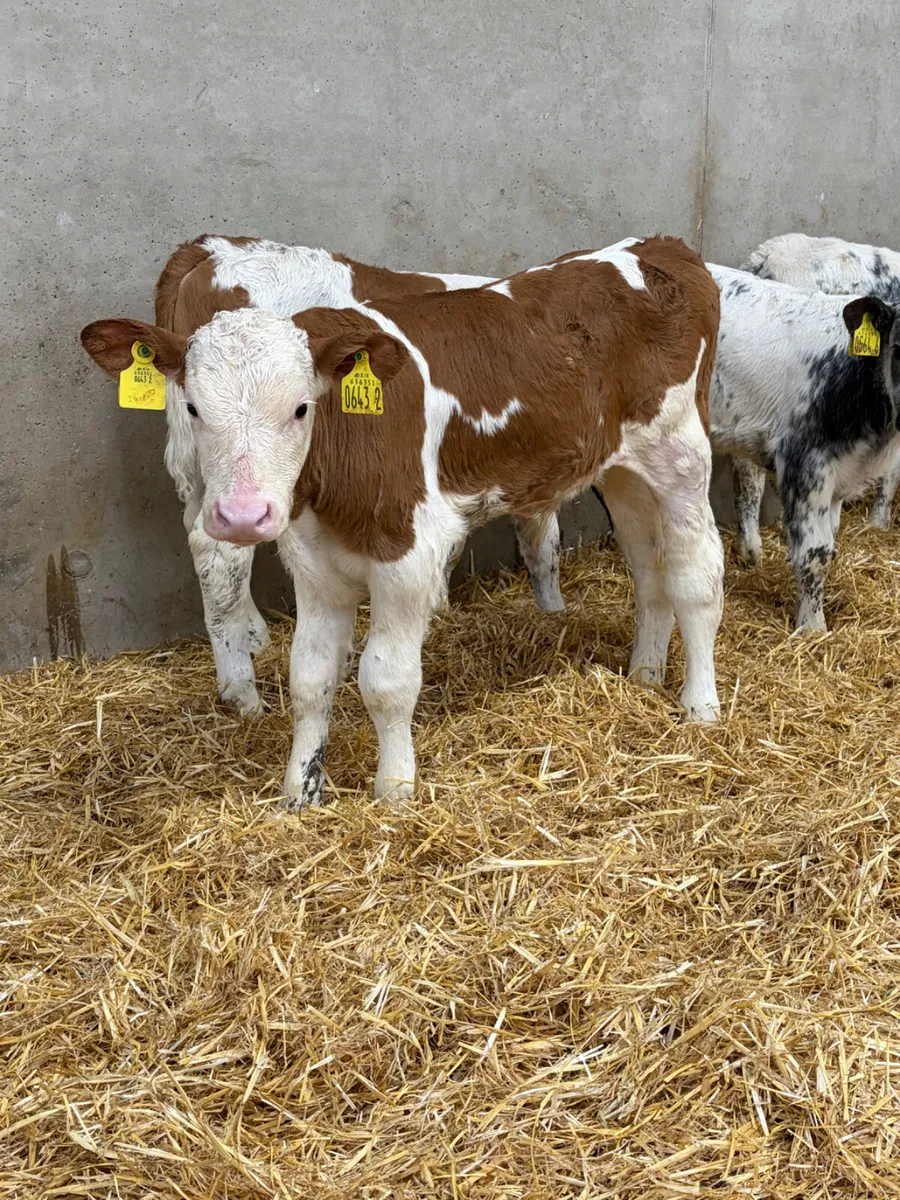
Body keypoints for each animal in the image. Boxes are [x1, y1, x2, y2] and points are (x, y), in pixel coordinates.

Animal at [155, 235, 563, 718]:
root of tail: (215, 248)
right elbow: (543, 542)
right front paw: (555, 612)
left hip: (205, 470)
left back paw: (253, 637)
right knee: (219, 554)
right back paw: (243, 692)